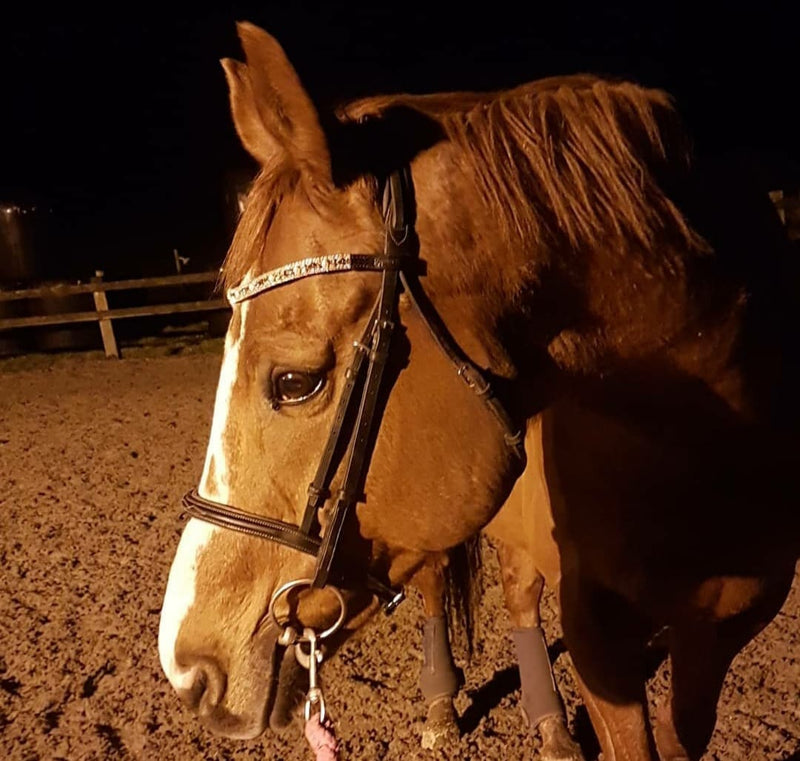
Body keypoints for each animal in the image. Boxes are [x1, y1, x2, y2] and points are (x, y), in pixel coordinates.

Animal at [159, 20, 796, 756]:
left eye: (294, 382)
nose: (188, 665)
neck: (695, 455)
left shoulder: (718, 637)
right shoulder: (598, 636)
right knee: (439, 584)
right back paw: (442, 706)